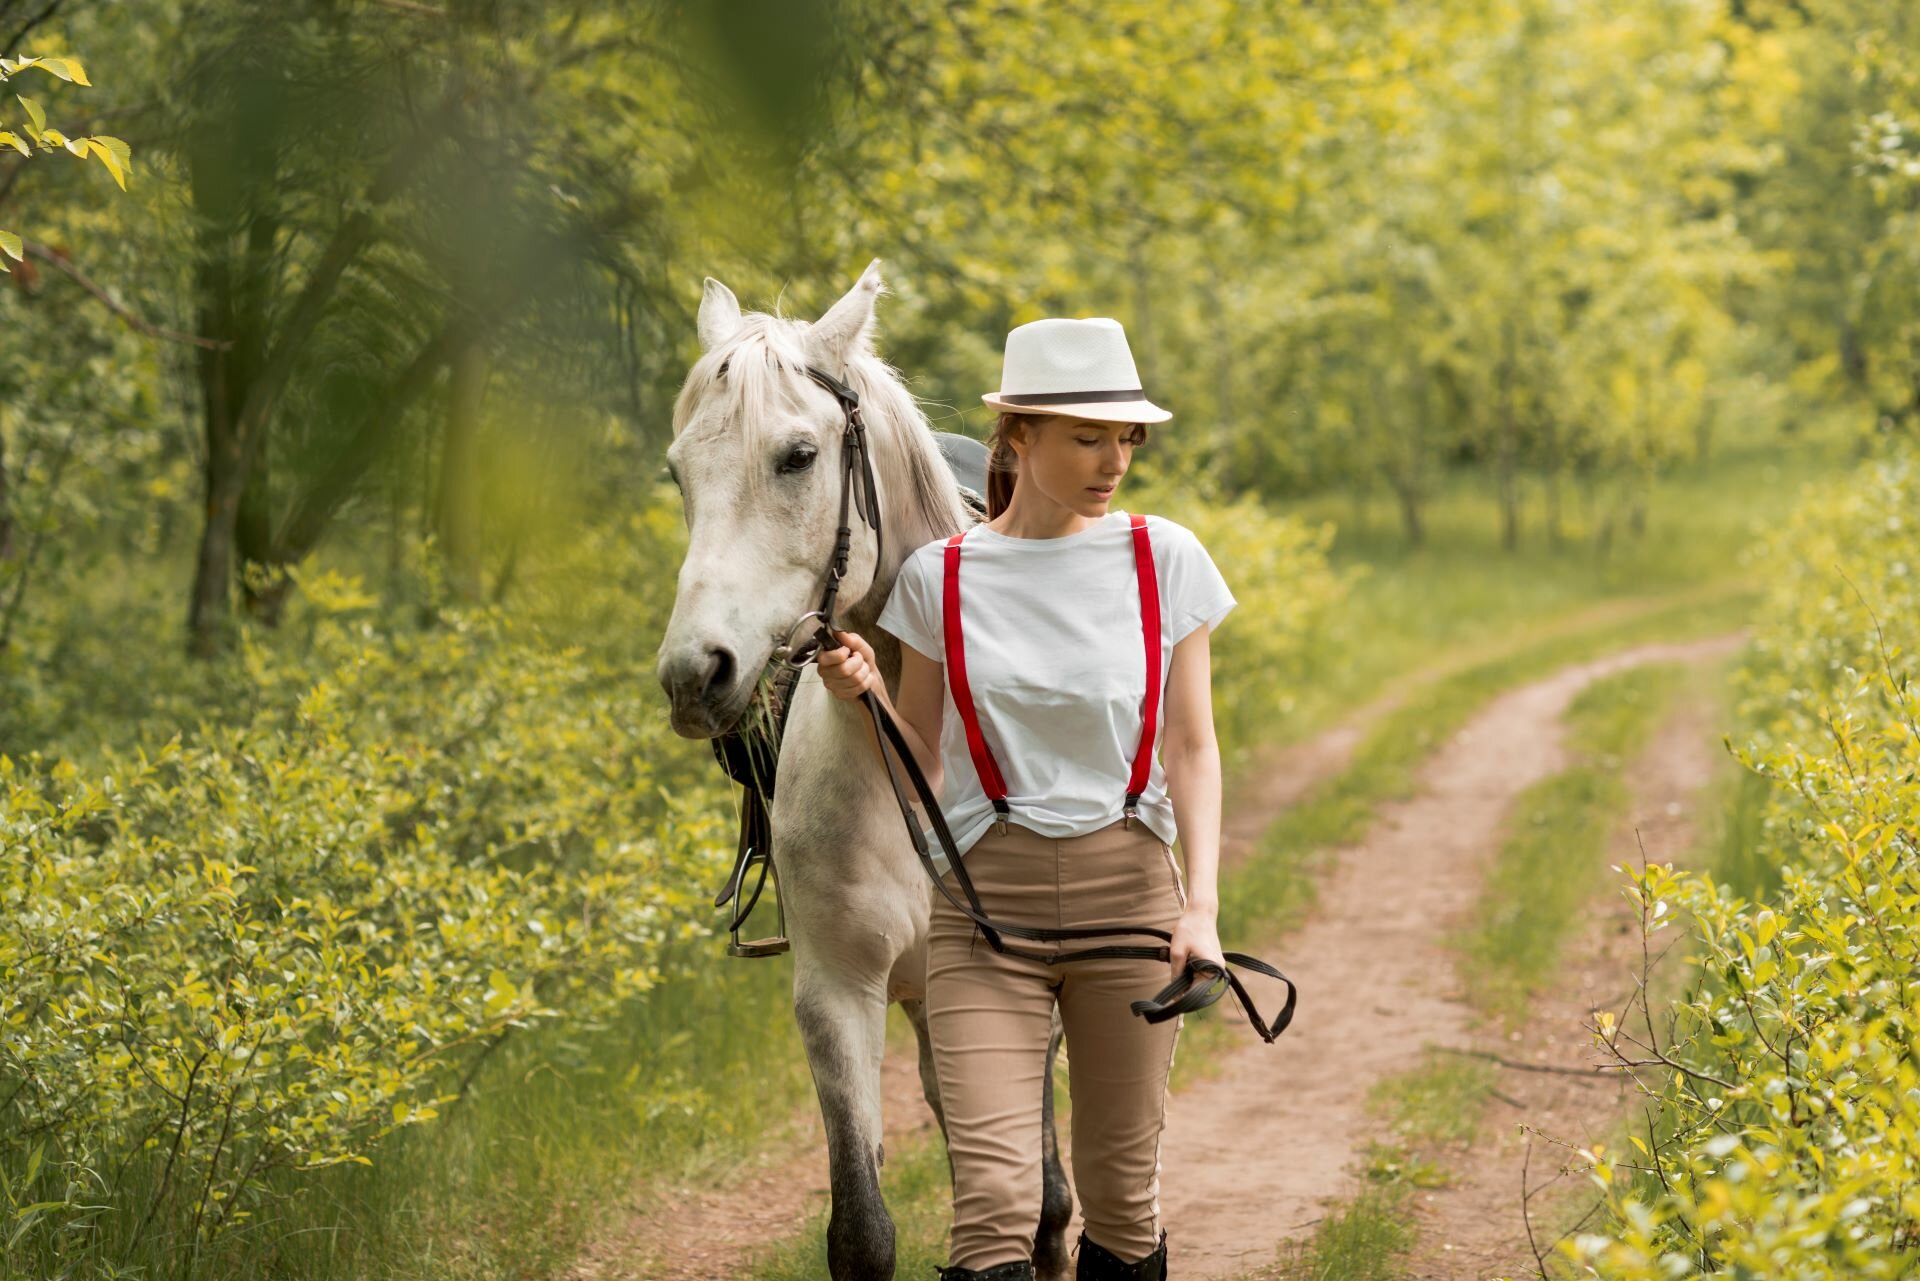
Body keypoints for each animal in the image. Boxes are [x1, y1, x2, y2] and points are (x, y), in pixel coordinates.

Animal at [656, 255, 1082, 1275]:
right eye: (679, 471)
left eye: (798, 456)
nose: (694, 673)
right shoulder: (838, 996)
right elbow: (862, 1227)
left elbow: (1037, 1200)